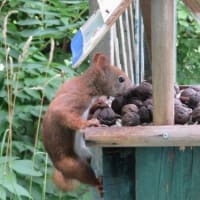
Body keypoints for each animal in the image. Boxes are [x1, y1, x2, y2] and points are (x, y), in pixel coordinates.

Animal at [42, 52, 132, 196]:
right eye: (121, 79)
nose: (132, 88)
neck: (88, 86)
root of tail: (62, 171)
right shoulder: (73, 99)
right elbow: (66, 116)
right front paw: (89, 123)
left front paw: (99, 104)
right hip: (73, 166)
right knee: (88, 177)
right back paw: (98, 184)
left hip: (86, 155)